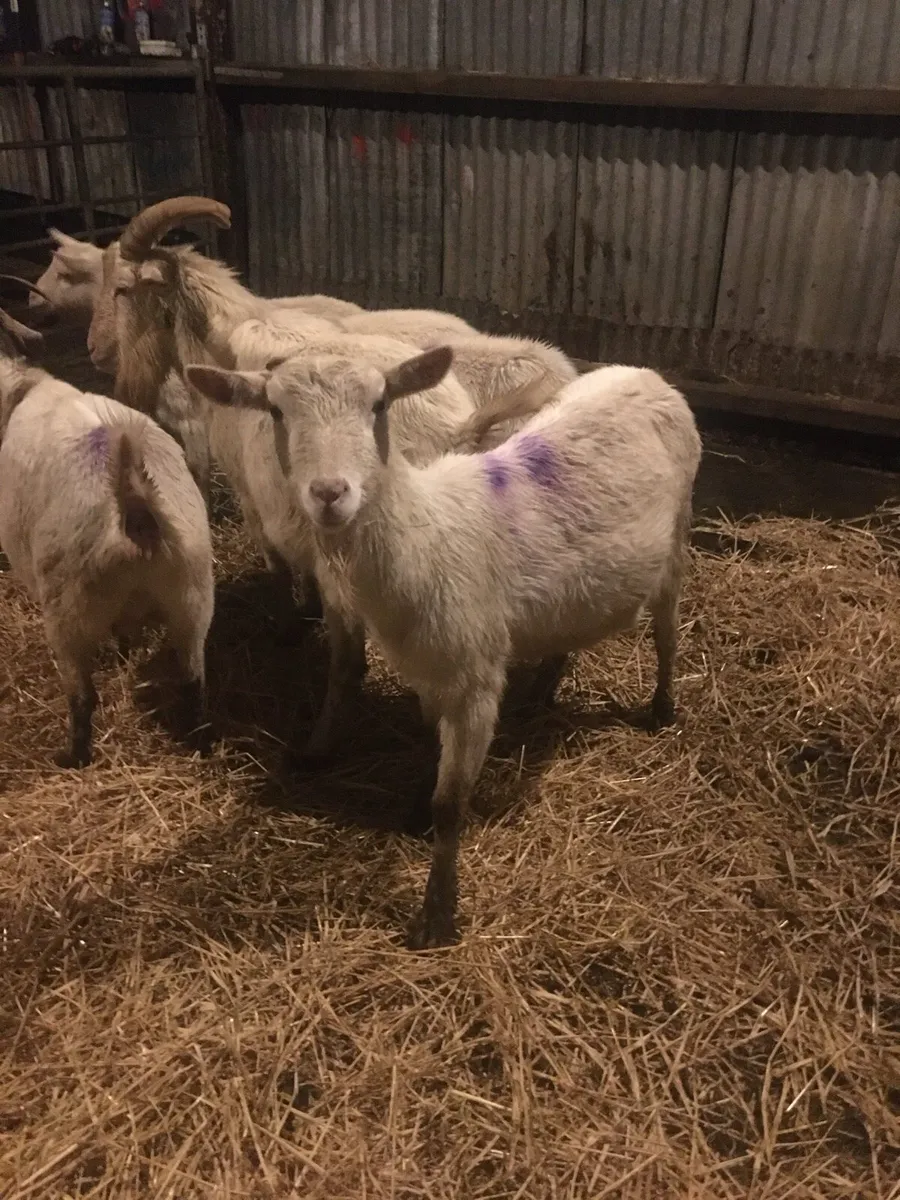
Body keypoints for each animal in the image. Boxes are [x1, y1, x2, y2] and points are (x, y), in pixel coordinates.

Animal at [186, 348, 701, 949]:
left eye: (380, 403)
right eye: (275, 410)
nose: (330, 494)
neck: (424, 534)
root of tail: (645, 374)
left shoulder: (475, 679)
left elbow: (451, 804)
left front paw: (437, 916)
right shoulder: (432, 672)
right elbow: (430, 754)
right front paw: (414, 810)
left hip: (678, 535)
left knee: (667, 631)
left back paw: (662, 710)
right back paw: (542, 691)